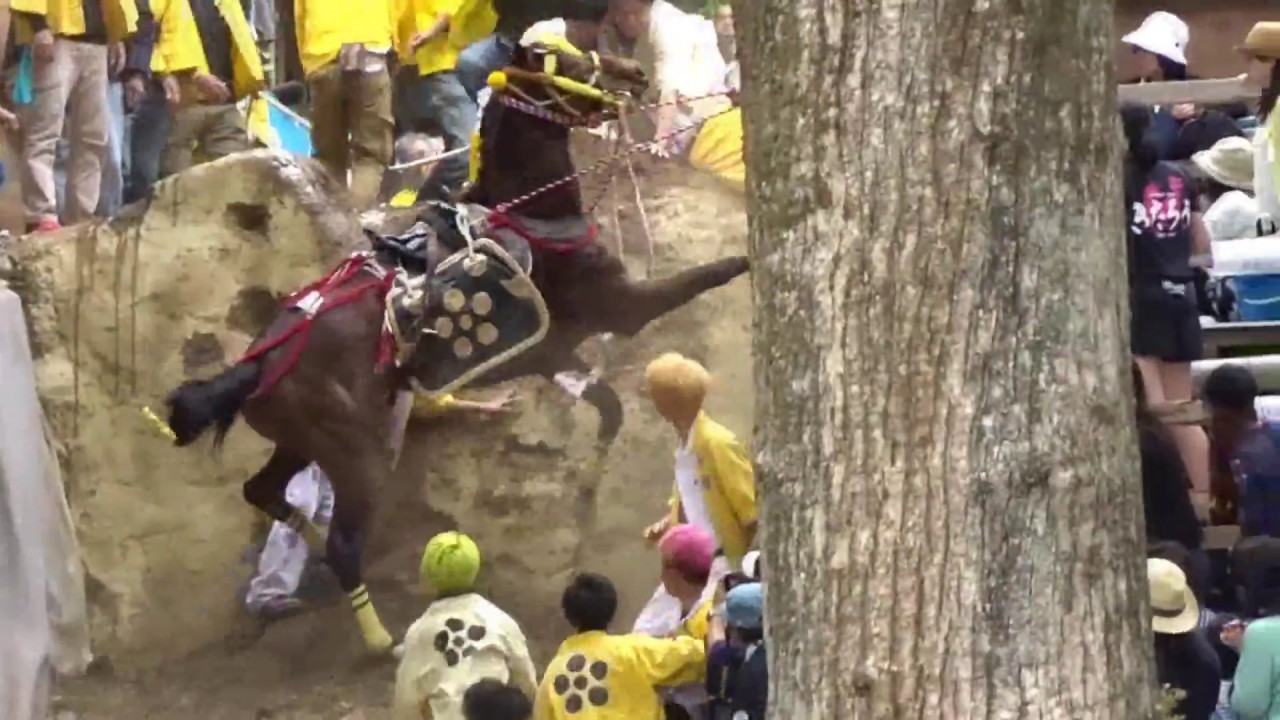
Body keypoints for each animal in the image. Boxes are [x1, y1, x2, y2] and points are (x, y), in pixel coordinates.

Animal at [163, 43, 749, 656]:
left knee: (263, 490)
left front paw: (584, 509)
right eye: (559, 58)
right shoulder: (621, 308)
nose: (633, 74)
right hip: (357, 451)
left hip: (301, 441)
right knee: (343, 543)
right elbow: (707, 275)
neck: (527, 215)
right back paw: (384, 639)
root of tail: (256, 364)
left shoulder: (553, 355)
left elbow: (608, 409)